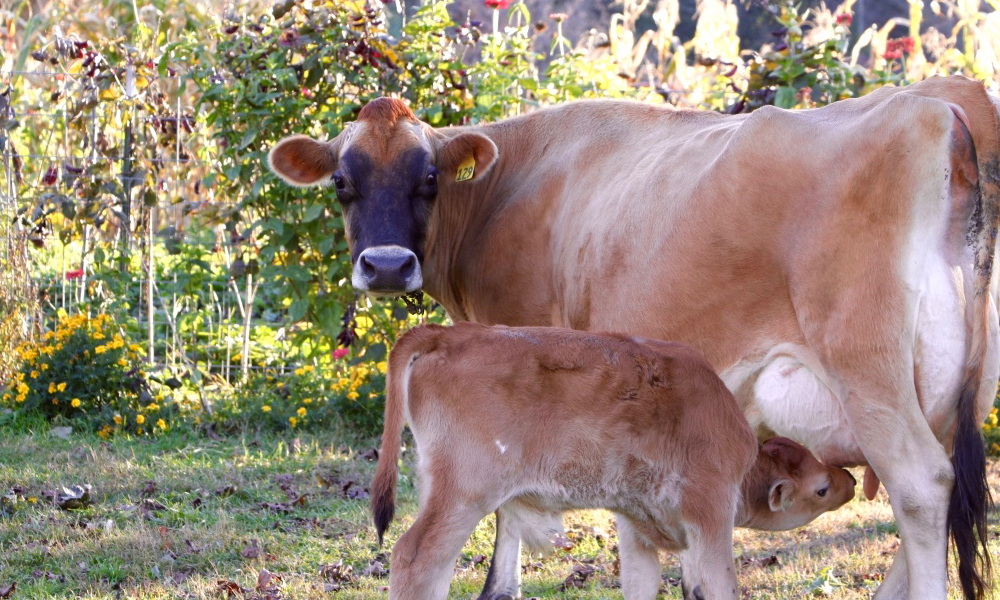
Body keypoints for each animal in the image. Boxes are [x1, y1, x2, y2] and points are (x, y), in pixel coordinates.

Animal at [371, 323, 857, 600]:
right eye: (820, 489)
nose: (849, 480)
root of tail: (447, 332)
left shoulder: (641, 523)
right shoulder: (711, 516)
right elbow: (720, 587)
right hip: (464, 494)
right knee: (415, 558)